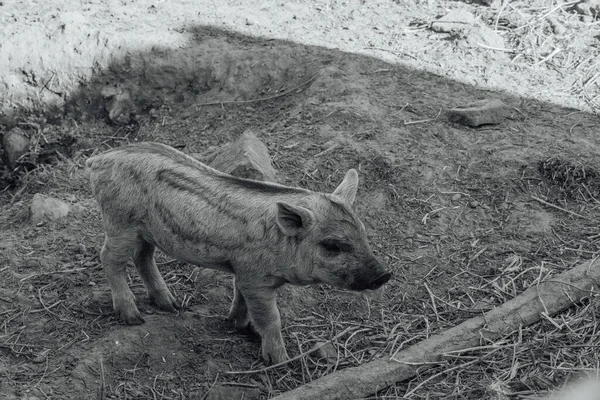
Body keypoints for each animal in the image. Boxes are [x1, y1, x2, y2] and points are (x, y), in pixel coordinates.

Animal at [85, 142, 394, 364]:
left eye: (363, 232)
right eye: (332, 245)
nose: (385, 274)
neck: (281, 246)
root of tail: (98, 159)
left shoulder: (243, 272)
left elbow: (240, 296)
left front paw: (238, 325)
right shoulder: (255, 278)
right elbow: (271, 317)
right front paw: (280, 361)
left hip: (146, 231)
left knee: (143, 257)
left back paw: (171, 306)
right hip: (120, 223)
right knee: (109, 259)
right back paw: (133, 317)